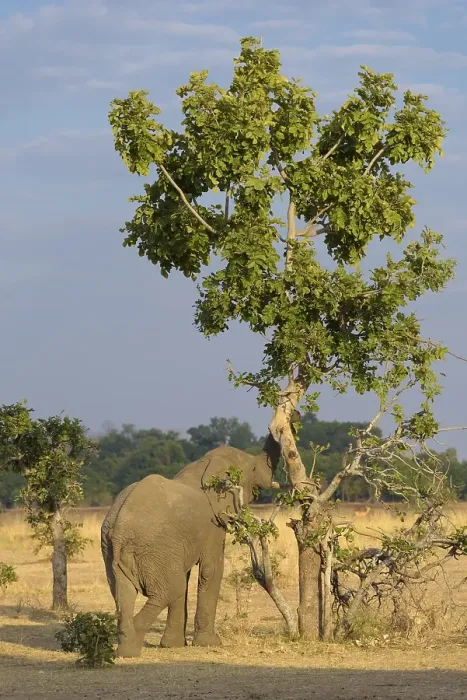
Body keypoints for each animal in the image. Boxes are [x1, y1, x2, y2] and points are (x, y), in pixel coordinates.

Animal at [101, 432, 281, 658]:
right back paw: (133, 641)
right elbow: (211, 571)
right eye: (254, 469)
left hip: (114, 552)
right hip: (150, 548)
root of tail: (119, 531)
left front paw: (172, 646)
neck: (205, 466)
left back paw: (126, 651)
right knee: (170, 589)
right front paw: (210, 643)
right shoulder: (213, 525)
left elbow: (187, 576)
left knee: (124, 595)